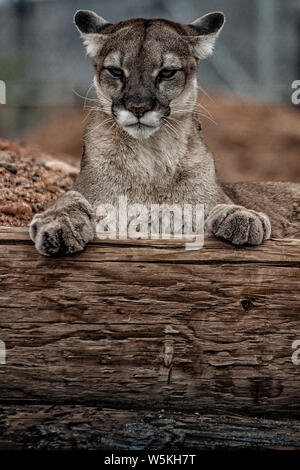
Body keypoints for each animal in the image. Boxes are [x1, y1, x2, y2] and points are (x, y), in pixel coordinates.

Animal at [29, 9, 300, 255]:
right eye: (115, 71)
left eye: (167, 72)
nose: (138, 107)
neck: (151, 157)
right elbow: (68, 199)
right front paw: (59, 224)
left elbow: (220, 203)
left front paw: (242, 215)